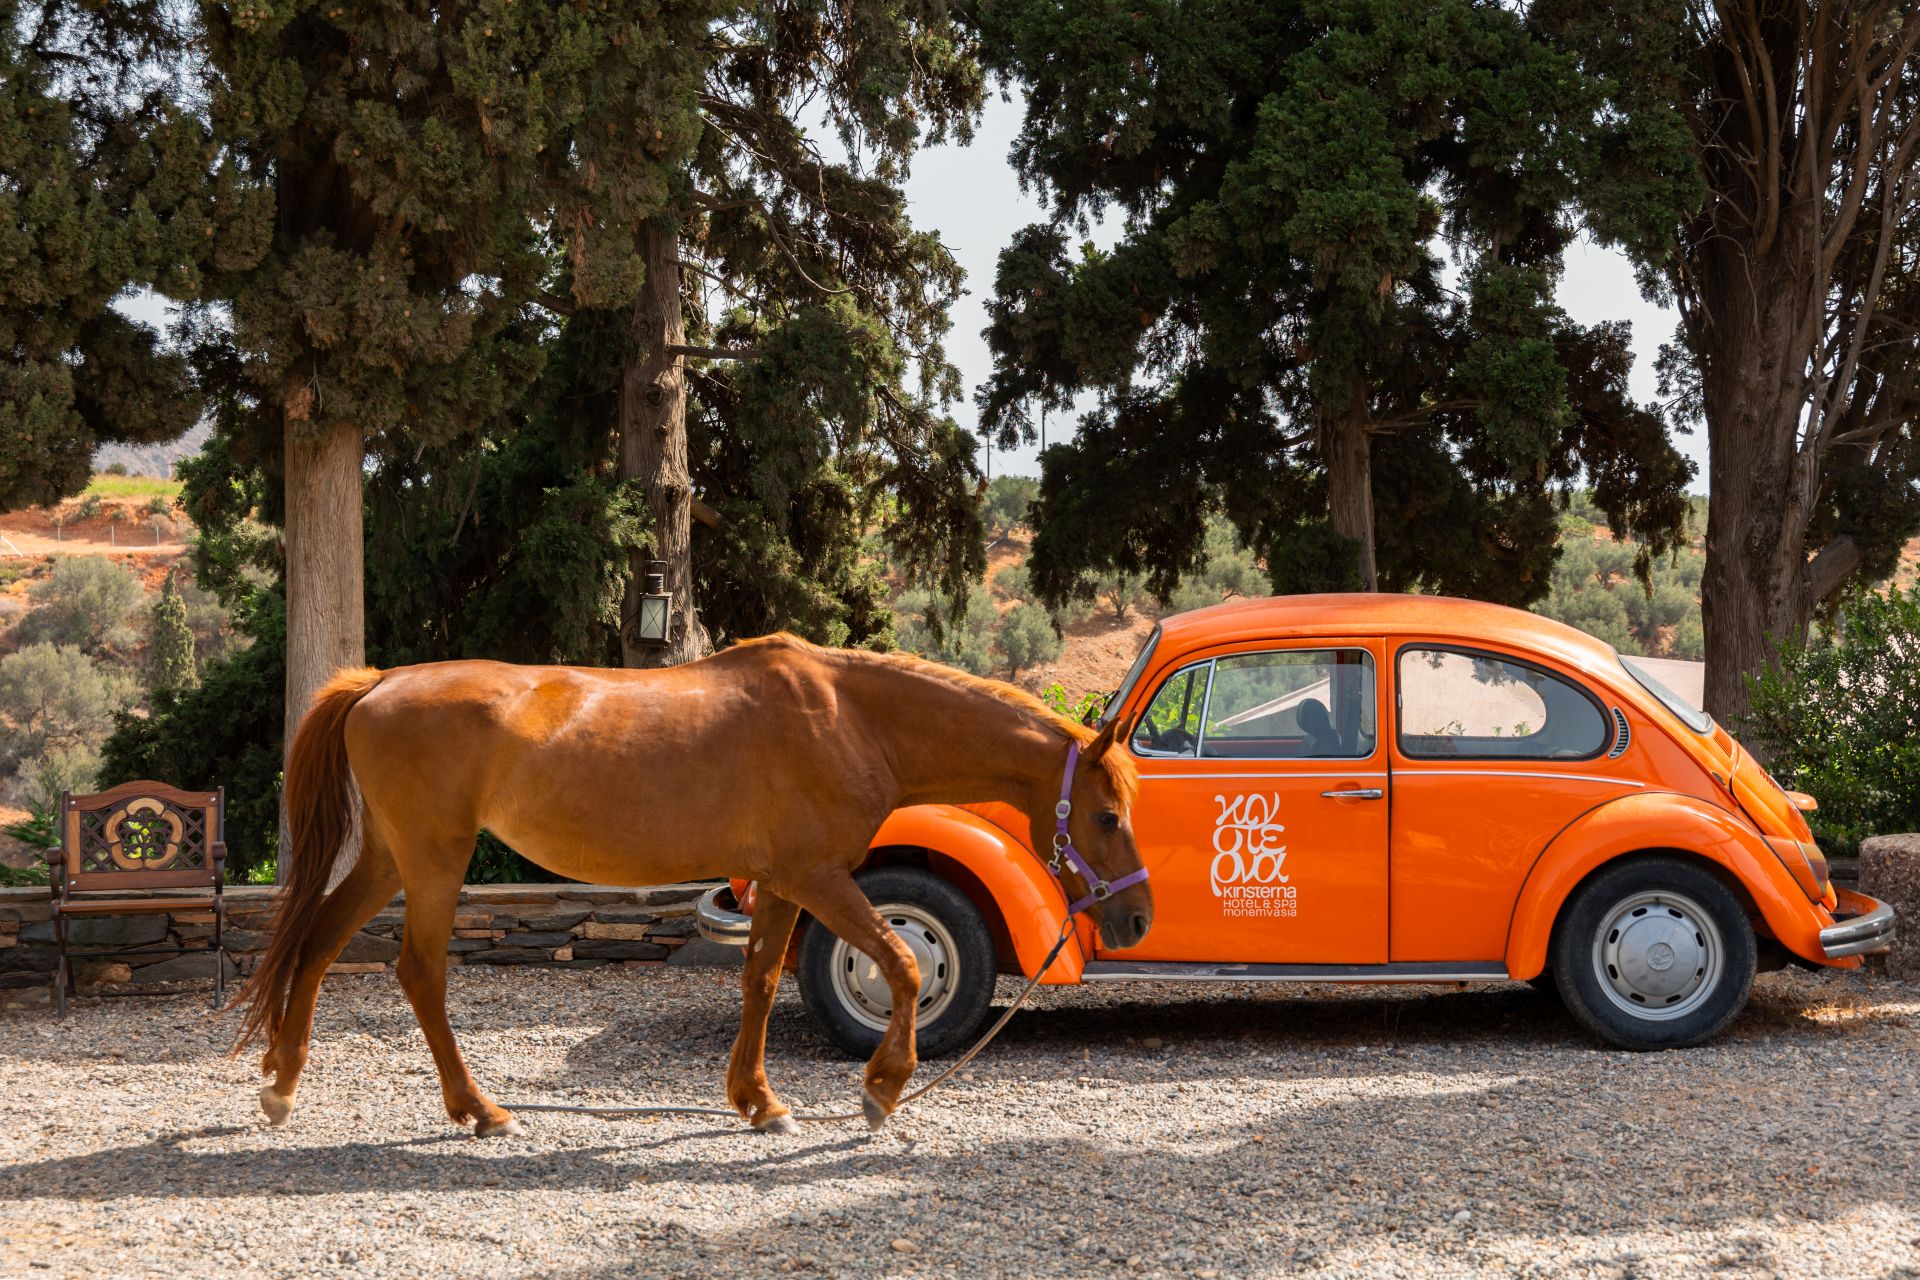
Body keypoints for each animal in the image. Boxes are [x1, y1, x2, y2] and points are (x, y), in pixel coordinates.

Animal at [232, 633, 1152, 1136]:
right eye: (1108, 814)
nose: (1137, 918)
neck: (851, 716)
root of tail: (379, 682)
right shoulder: (822, 876)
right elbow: (901, 963)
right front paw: (882, 1089)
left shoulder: (782, 881)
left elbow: (760, 981)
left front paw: (759, 1100)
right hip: (432, 860)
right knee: (419, 971)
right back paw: (479, 1109)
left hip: (389, 858)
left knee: (317, 944)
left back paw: (281, 1087)